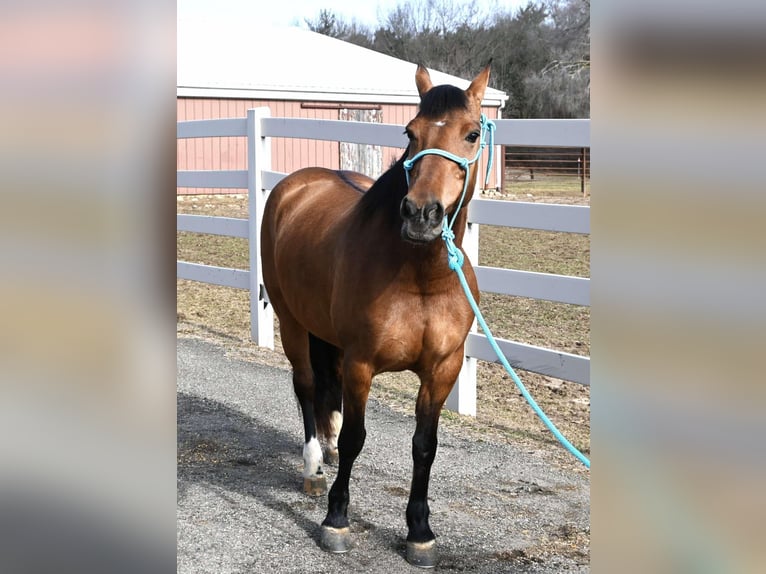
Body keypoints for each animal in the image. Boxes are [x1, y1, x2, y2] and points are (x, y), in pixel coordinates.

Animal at [260, 63, 492, 568]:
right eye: (410, 132)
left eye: (471, 134)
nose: (421, 213)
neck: (420, 278)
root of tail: (297, 183)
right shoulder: (361, 363)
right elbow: (355, 437)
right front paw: (336, 521)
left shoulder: (442, 369)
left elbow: (424, 446)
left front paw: (420, 532)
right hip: (293, 323)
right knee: (307, 388)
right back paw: (314, 466)